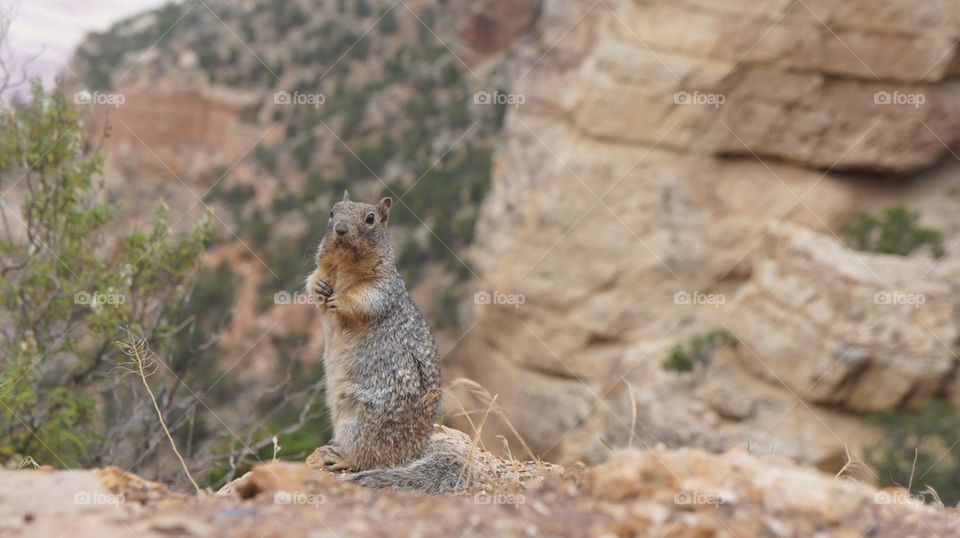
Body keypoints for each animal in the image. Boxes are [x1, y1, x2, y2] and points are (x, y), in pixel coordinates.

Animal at [304, 191, 467, 494]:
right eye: (332, 212)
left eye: (370, 218)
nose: (340, 229)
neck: (343, 266)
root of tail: (414, 452)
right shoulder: (322, 269)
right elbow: (313, 282)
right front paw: (321, 288)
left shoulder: (382, 288)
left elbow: (363, 300)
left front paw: (340, 300)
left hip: (357, 421)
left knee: (369, 459)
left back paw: (341, 457)